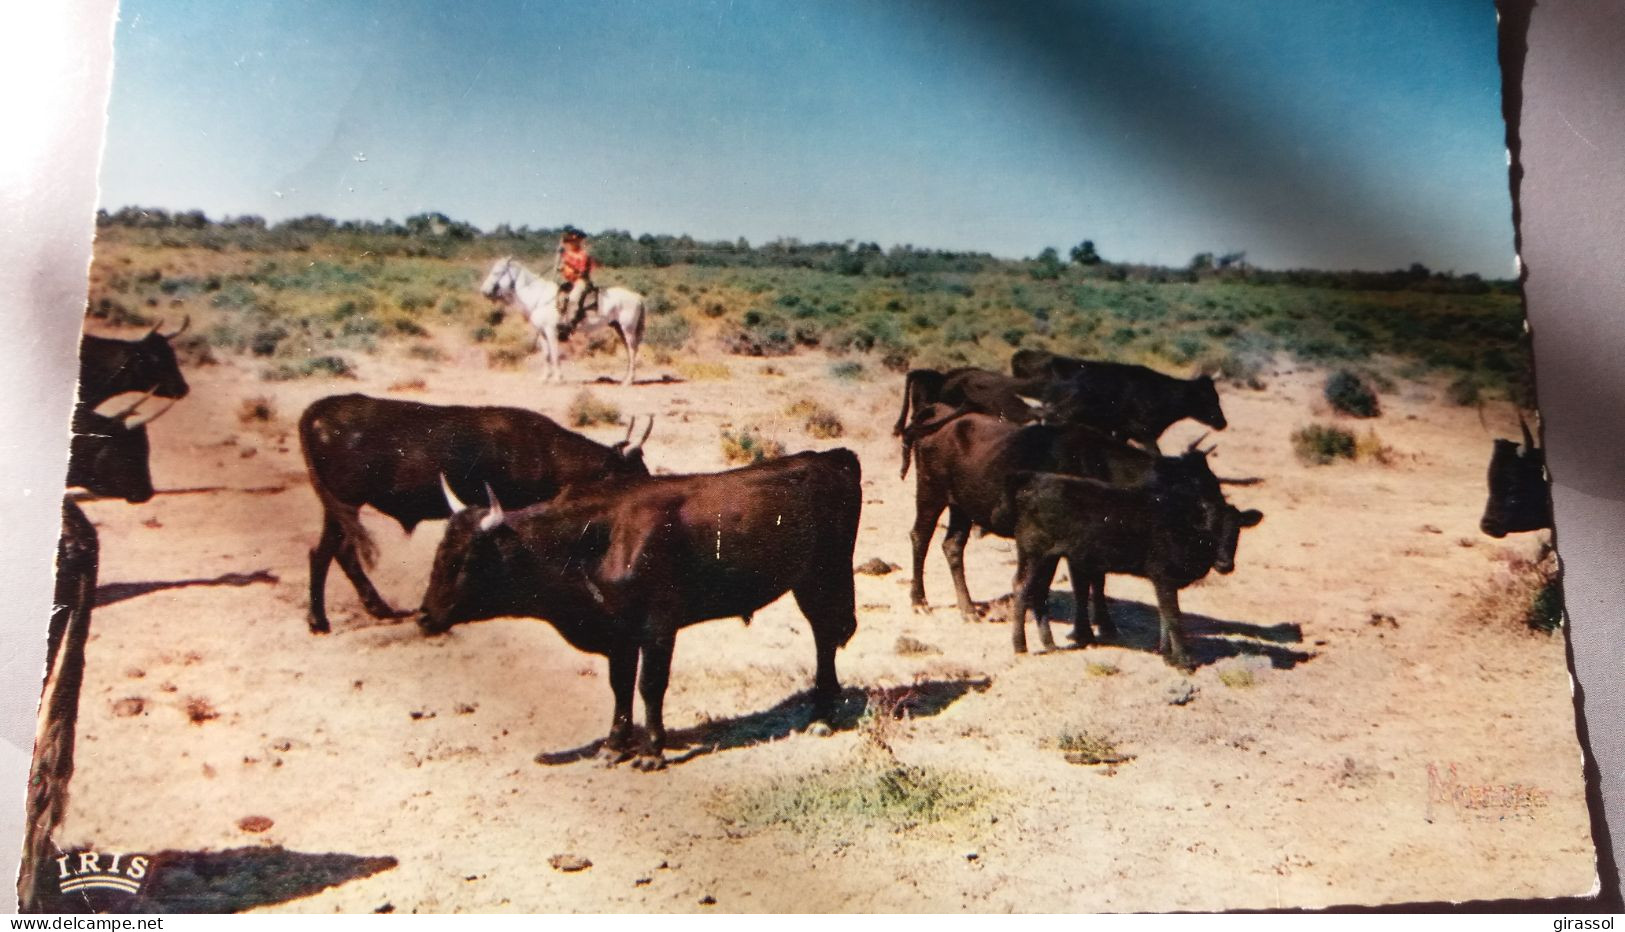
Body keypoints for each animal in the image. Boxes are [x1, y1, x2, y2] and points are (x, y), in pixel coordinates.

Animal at [302, 394, 656, 636]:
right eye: (634, 471)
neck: (542, 450)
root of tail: (324, 409)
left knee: (338, 552)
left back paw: (377, 609)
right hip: (345, 504)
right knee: (324, 554)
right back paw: (320, 620)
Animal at [425, 454, 871, 772]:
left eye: (467, 561)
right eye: (439, 553)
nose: (425, 616)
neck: (598, 537)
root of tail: (830, 457)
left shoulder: (658, 627)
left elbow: (649, 686)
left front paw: (652, 750)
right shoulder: (618, 633)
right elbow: (620, 687)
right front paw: (614, 746)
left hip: (822, 576)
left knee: (824, 636)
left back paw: (822, 714)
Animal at [477, 258, 643, 384]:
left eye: (497, 272)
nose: (484, 291)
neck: (539, 297)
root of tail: (638, 297)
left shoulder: (551, 330)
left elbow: (555, 353)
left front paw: (558, 379)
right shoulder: (542, 333)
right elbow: (546, 355)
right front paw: (545, 378)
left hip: (628, 328)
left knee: (632, 350)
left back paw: (628, 381)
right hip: (619, 328)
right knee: (630, 351)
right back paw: (626, 378)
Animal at [1007, 477, 1261, 668]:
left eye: (1236, 531)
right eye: (1209, 530)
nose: (1225, 564)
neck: (1183, 527)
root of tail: (1030, 487)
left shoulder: (1163, 579)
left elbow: (1164, 616)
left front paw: (1166, 654)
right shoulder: (1163, 574)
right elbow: (1173, 617)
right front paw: (1183, 660)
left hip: (1050, 555)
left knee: (1040, 591)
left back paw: (1049, 644)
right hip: (1034, 551)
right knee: (1022, 587)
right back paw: (1020, 646)